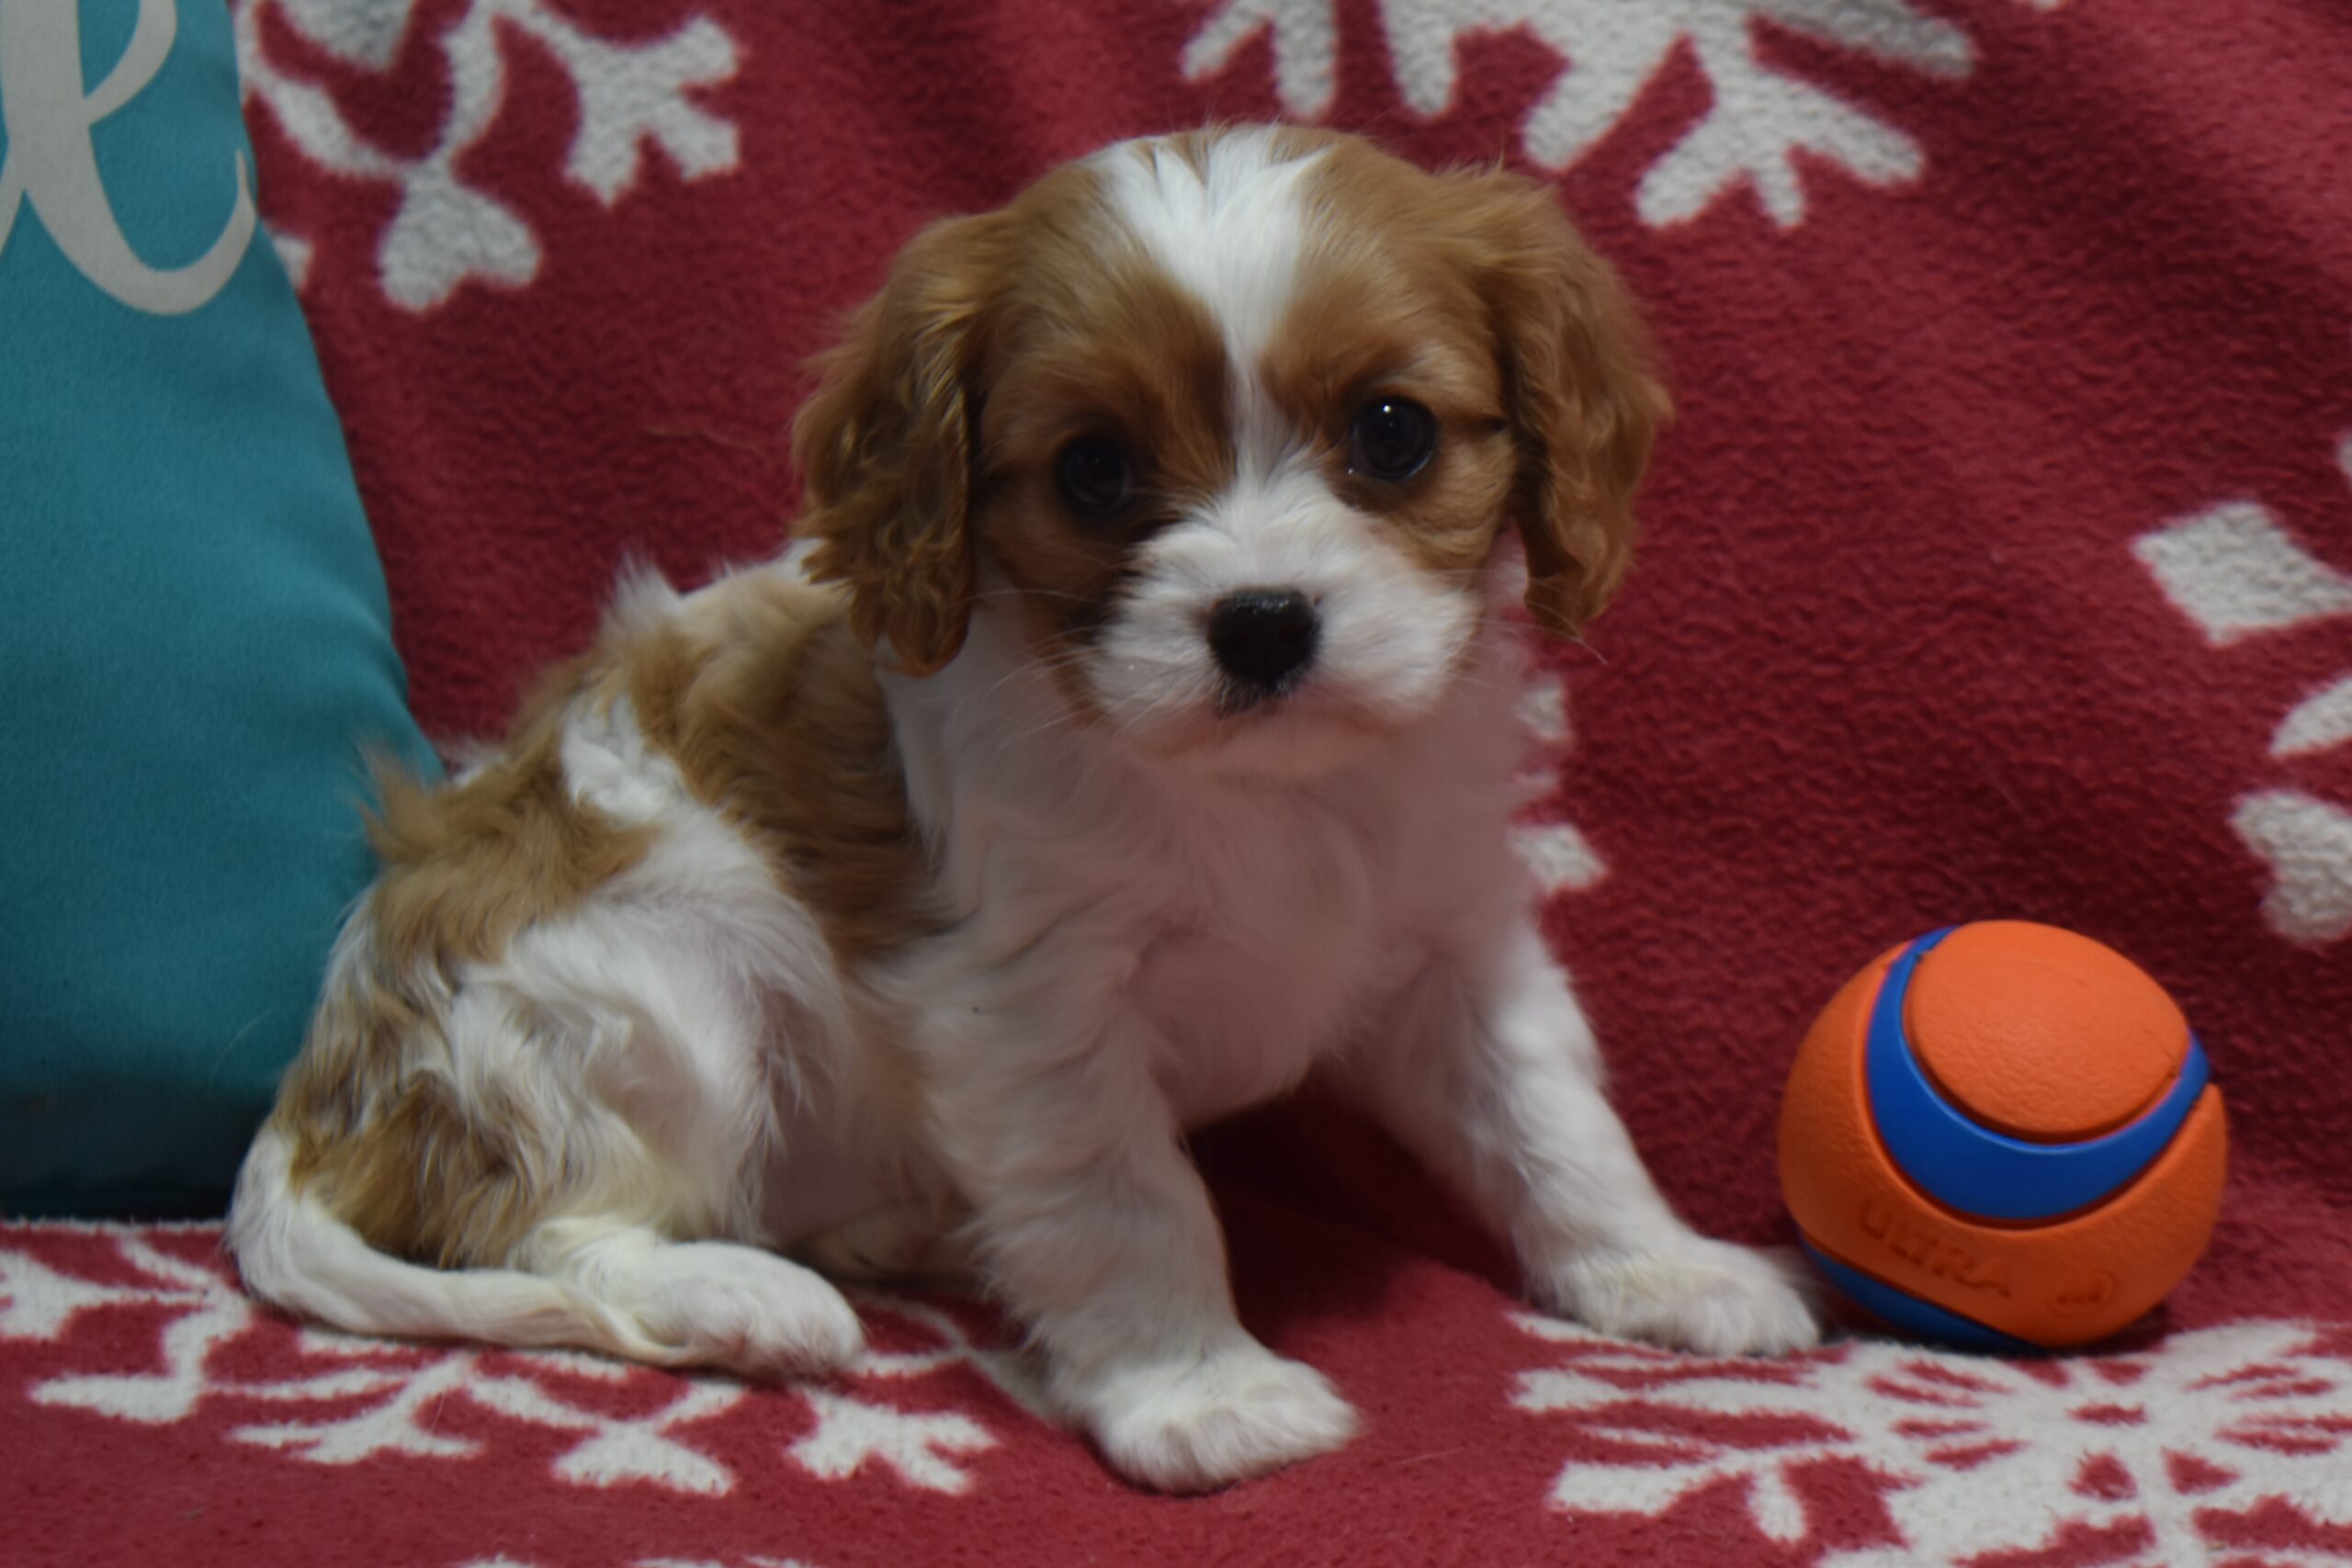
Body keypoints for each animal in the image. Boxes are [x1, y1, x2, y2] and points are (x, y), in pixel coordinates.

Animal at [228, 125, 1818, 1493]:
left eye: (1392, 433)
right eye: (1095, 469)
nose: (1262, 621)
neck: (1259, 795)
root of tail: (316, 1102)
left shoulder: (1453, 939)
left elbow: (1551, 1117)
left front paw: (1666, 1267)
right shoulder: (1033, 1003)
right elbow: (1126, 1198)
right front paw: (1202, 1391)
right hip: (663, 974)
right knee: (550, 1226)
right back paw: (741, 1291)